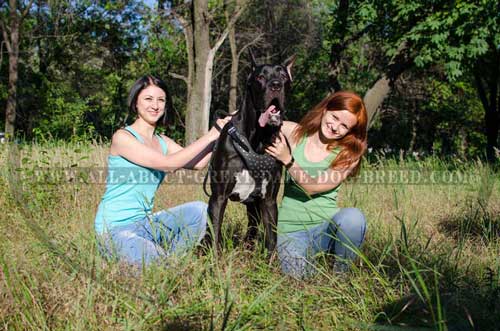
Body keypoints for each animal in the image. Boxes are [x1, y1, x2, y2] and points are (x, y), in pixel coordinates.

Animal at [205, 53, 294, 253]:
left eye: (284, 77)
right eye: (260, 77)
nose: (276, 85)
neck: (256, 140)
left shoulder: (269, 200)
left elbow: (272, 238)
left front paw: (272, 261)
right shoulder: (218, 198)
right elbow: (214, 234)